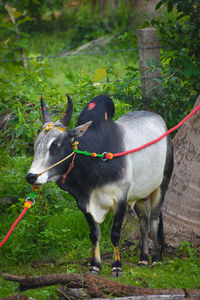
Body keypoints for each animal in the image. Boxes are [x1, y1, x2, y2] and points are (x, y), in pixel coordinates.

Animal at [26, 94, 173, 276]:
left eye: (55, 145)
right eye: (36, 145)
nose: (31, 176)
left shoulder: (121, 198)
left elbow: (115, 234)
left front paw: (116, 266)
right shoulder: (85, 203)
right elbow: (94, 234)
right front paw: (95, 265)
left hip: (162, 184)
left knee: (153, 220)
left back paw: (157, 259)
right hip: (138, 195)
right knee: (143, 221)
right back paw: (143, 258)